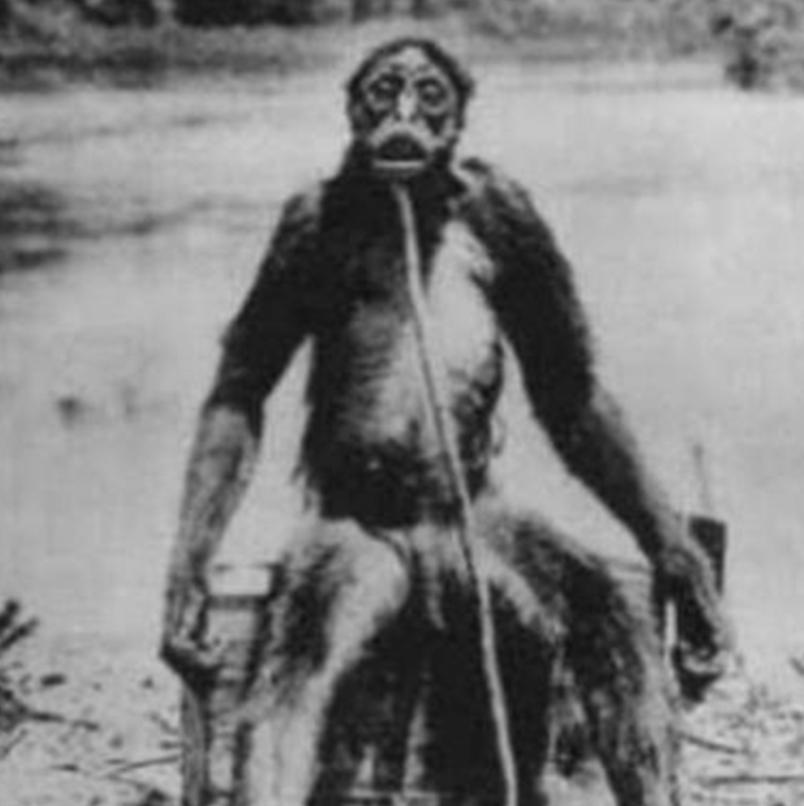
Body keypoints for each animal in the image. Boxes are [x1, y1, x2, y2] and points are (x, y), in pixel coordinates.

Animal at [161, 37, 729, 805]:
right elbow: (242, 384)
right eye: (384, 89)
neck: (409, 205)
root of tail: (431, 563)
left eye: (428, 92)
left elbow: (568, 384)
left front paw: (683, 568)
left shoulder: (510, 209)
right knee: (295, 684)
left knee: (600, 623)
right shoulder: (300, 223)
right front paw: (186, 585)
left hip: (482, 530)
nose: (402, 117)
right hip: (353, 545)